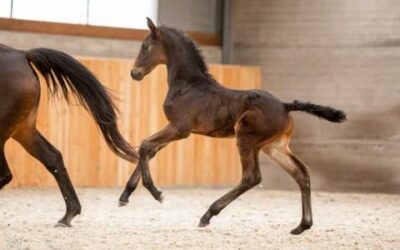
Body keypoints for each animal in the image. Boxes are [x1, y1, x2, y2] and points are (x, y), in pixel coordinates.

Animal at [119, 18, 346, 234]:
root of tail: (284, 105)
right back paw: (302, 226)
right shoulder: (174, 128)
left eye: (145, 46)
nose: (134, 73)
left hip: (245, 138)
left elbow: (145, 145)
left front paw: (155, 192)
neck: (188, 86)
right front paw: (125, 195)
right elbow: (149, 150)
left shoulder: (179, 129)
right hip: (274, 147)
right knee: (301, 173)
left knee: (251, 177)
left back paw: (208, 214)